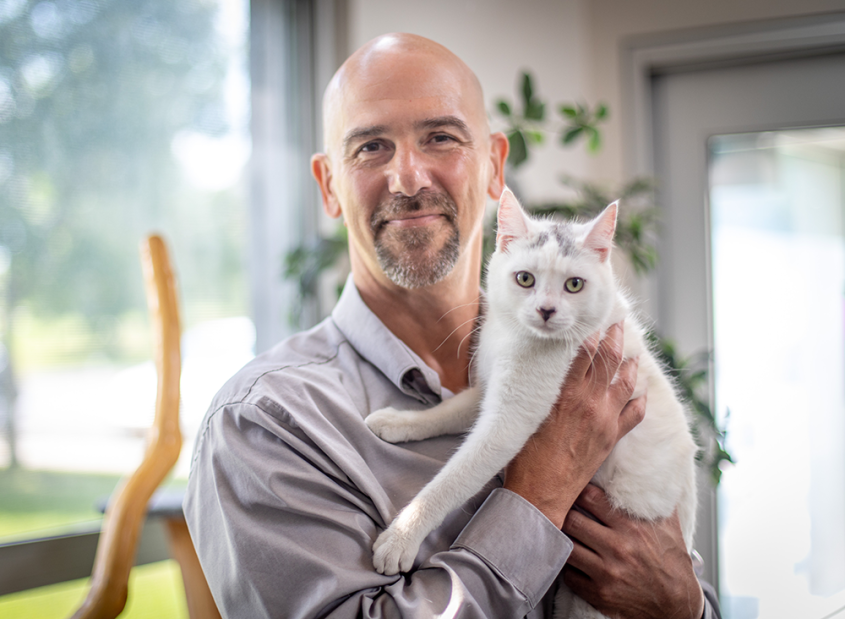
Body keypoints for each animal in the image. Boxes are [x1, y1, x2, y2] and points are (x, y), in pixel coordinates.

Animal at [366, 189, 696, 619]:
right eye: (525, 279)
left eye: (574, 284)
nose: (546, 310)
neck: (517, 337)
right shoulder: (487, 390)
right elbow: (445, 412)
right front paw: (398, 422)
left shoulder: (509, 421)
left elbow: (451, 481)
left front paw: (400, 537)